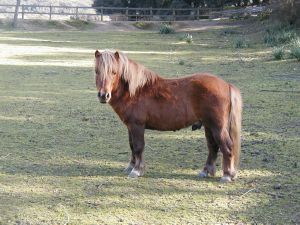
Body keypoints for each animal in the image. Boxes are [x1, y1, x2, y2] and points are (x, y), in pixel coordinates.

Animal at [95, 49, 243, 183]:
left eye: (114, 72)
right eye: (97, 71)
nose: (103, 95)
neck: (135, 91)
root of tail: (226, 85)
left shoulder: (137, 126)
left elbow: (138, 147)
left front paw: (136, 170)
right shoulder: (130, 127)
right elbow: (132, 146)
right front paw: (131, 166)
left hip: (217, 127)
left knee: (226, 146)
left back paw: (227, 175)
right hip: (209, 126)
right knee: (213, 147)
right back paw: (205, 171)